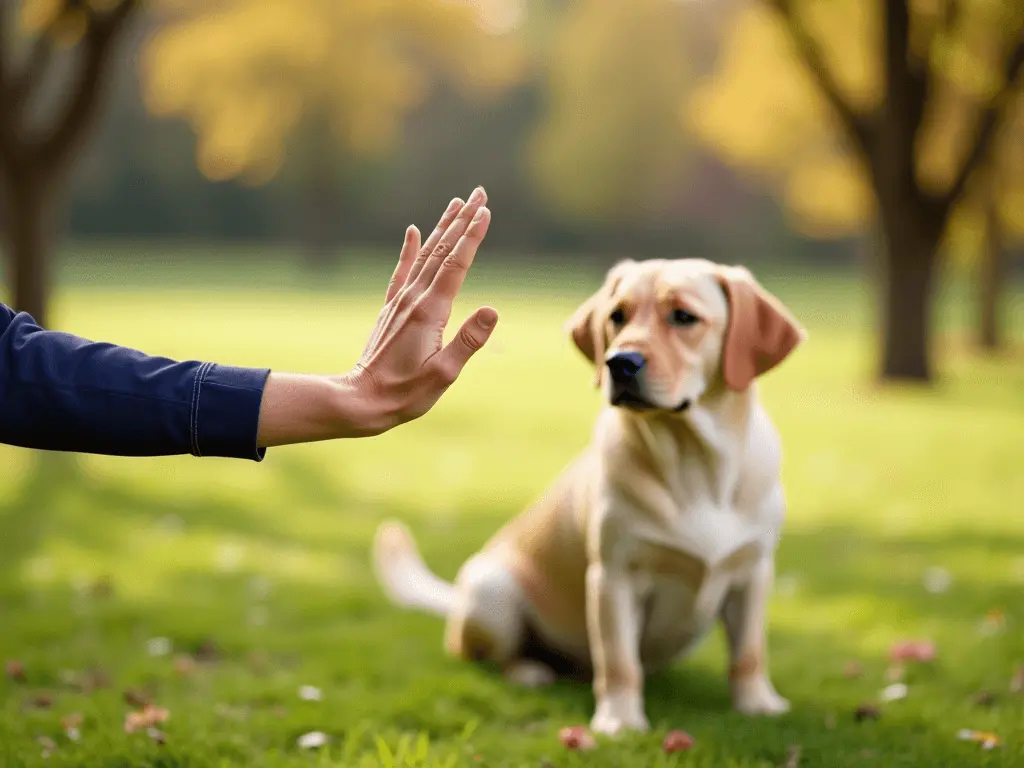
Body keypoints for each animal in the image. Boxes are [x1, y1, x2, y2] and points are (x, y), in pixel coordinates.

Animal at [372, 260, 802, 741]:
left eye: (684, 317)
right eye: (617, 317)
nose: (620, 362)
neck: (695, 465)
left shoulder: (754, 572)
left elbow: (750, 652)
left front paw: (759, 705)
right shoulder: (614, 576)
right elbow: (618, 663)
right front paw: (621, 721)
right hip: (492, 590)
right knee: (490, 655)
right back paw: (530, 671)